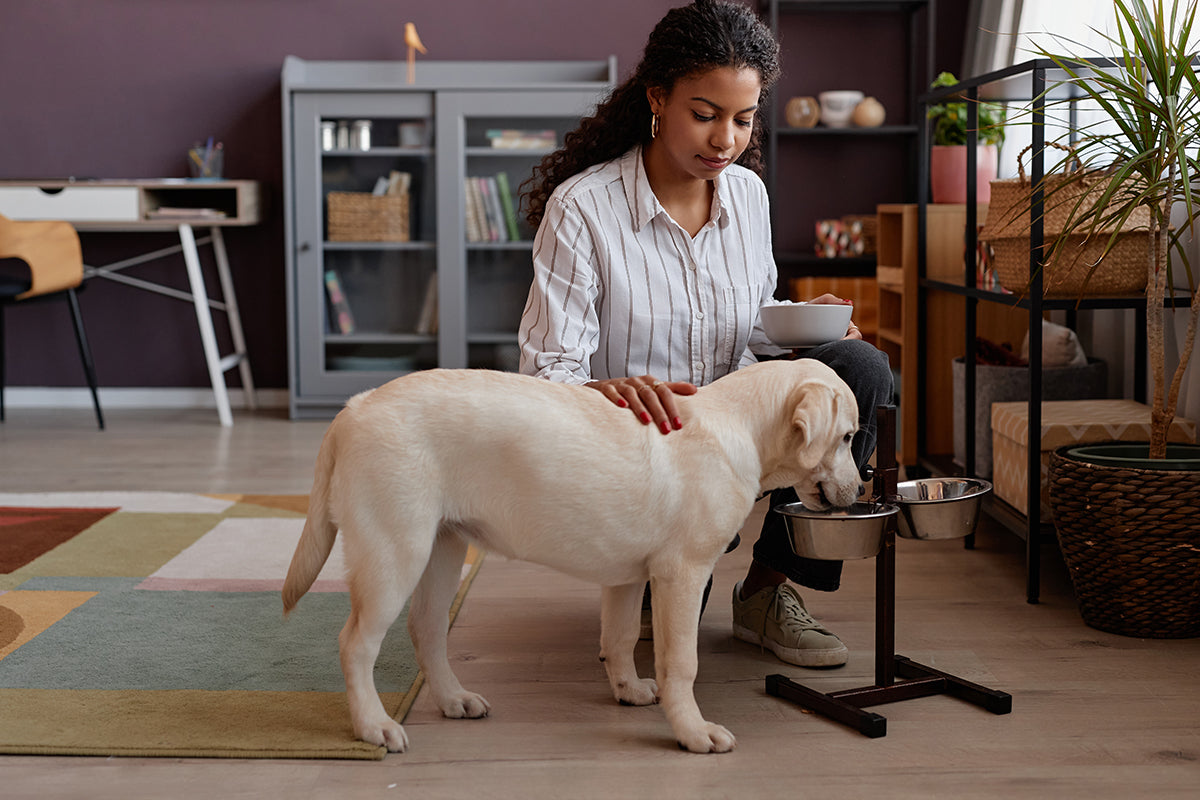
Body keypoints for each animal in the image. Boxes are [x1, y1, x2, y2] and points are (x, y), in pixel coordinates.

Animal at [280, 359, 864, 753]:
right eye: (847, 437)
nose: (860, 490)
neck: (738, 426)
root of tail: (355, 406)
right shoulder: (683, 573)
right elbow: (682, 664)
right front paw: (693, 731)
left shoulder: (630, 578)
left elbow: (620, 639)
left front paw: (629, 691)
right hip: (394, 551)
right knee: (356, 644)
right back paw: (373, 726)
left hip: (441, 549)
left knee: (425, 631)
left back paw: (452, 700)